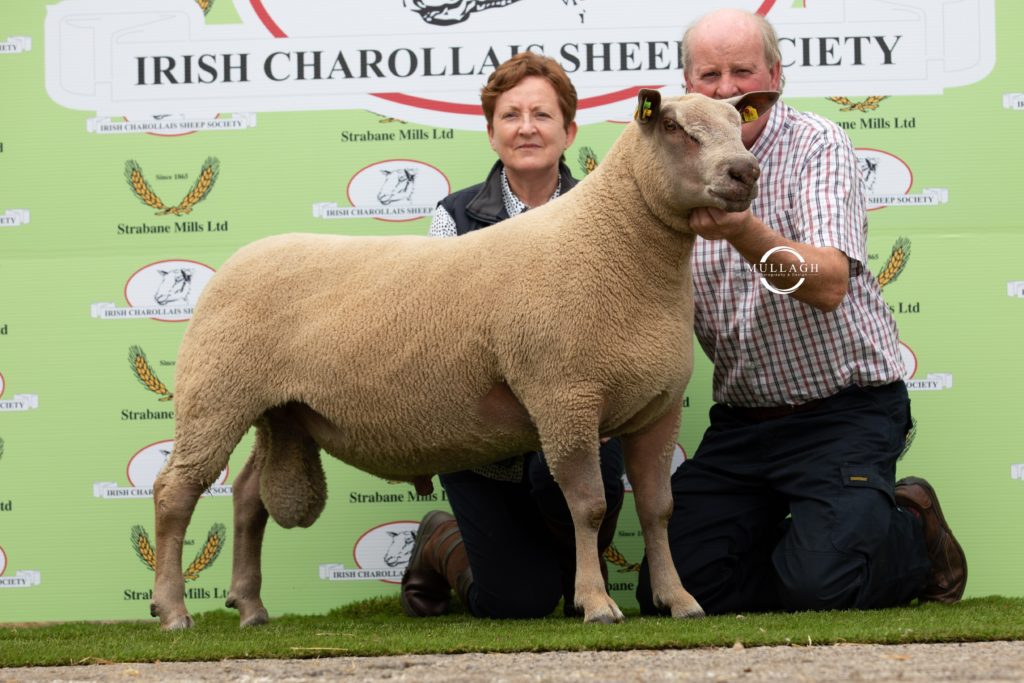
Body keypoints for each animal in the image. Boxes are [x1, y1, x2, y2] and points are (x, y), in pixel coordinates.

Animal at [150, 88, 779, 630]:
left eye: (737, 123)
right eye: (673, 127)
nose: (745, 173)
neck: (613, 245)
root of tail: (238, 260)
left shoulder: (656, 408)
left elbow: (657, 508)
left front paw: (679, 599)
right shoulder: (564, 397)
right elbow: (589, 507)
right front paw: (597, 603)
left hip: (280, 412)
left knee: (247, 498)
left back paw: (251, 607)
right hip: (216, 393)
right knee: (175, 493)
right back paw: (173, 611)